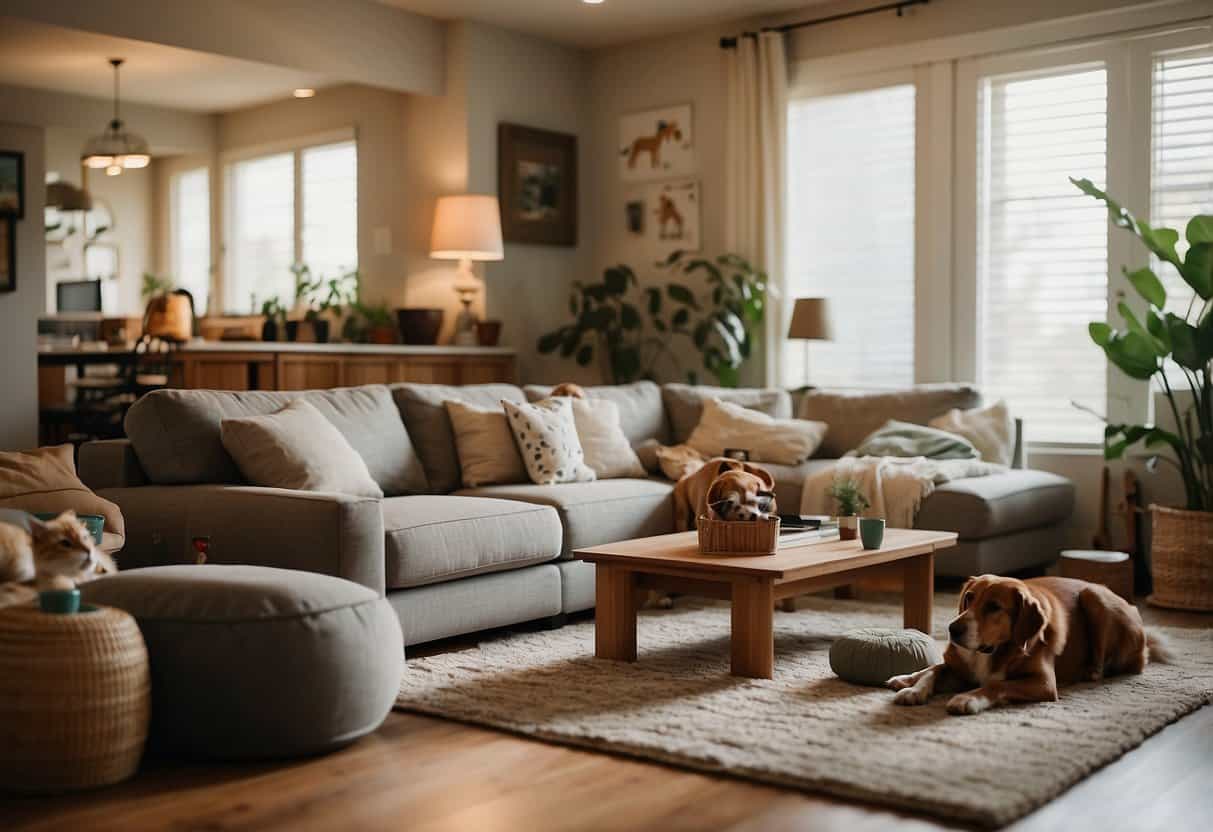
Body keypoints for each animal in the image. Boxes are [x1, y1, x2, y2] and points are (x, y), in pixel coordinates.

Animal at [887, 572, 1169, 717]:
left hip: (1094, 597)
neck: (992, 651)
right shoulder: (958, 667)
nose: (952, 630)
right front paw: (914, 688)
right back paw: (904, 678)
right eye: (969, 598)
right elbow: (935, 669)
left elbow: (996, 684)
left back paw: (1090, 671)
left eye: (994, 607)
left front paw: (968, 698)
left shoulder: (1043, 683)